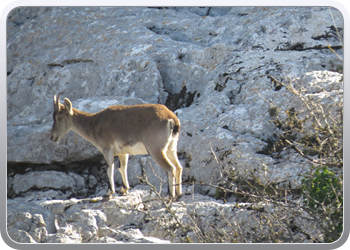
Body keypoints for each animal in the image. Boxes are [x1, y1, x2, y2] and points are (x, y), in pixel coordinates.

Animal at [51, 94, 183, 199]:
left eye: (59, 118)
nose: (52, 137)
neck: (93, 124)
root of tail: (172, 119)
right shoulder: (123, 152)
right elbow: (122, 168)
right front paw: (124, 190)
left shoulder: (107, 149)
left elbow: (110, 168)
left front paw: (108, 193)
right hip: (171, 147)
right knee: (179, 167)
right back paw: (179, 194)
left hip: (156, 150)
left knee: (170, 168)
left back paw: (170, 195)